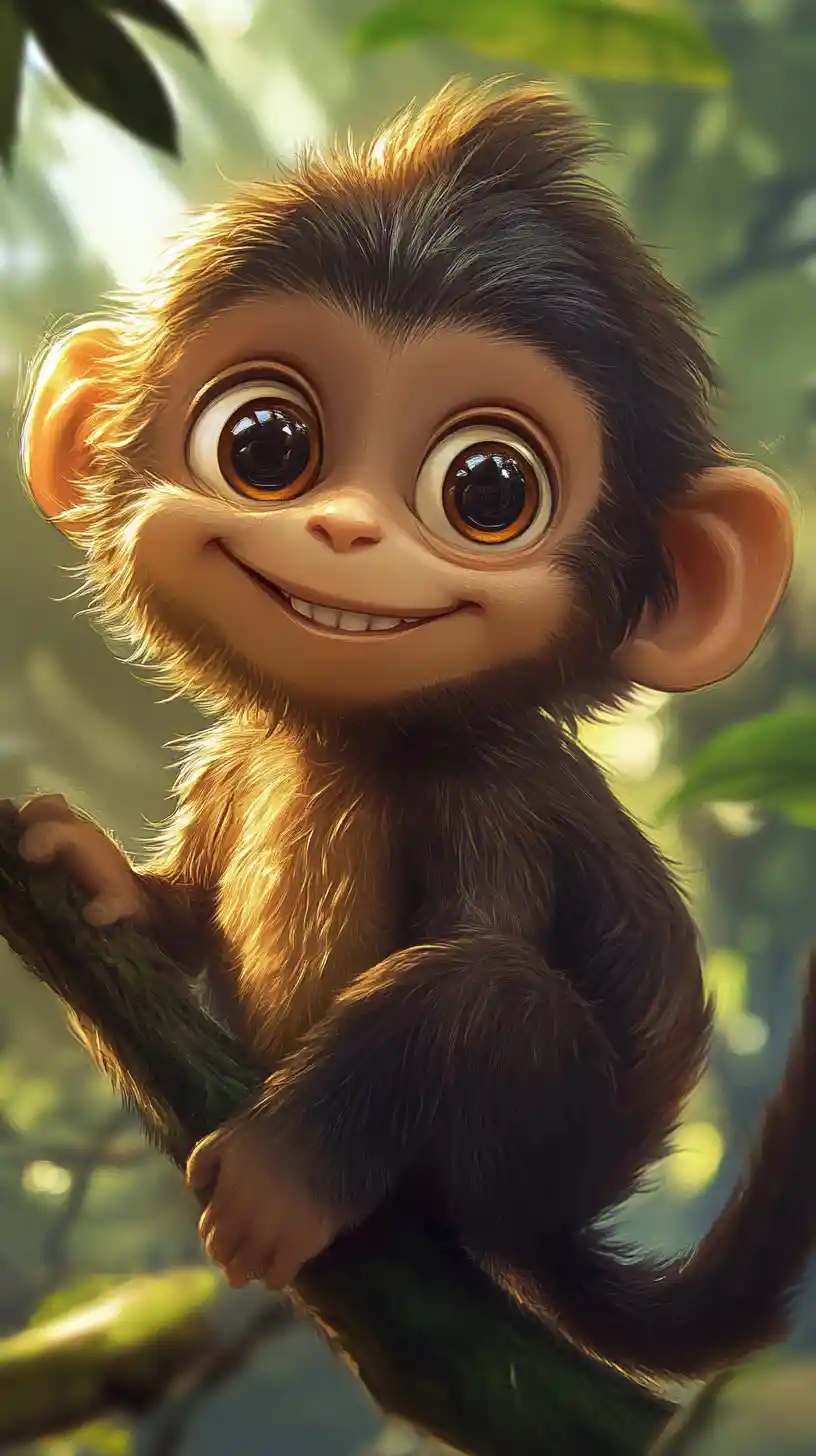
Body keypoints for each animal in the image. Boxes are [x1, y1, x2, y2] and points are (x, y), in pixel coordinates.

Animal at [15, 77, 815, 1383]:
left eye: (488, 489)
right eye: (265, 444)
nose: (344, 530)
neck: (345, 739)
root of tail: (545, 1226)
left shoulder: (491, 793)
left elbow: (467, 967)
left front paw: (282, 1176)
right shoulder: (232, 759)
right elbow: (176, 915)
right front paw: (98, 874)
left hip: (539, 1133)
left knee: (487, 1000)